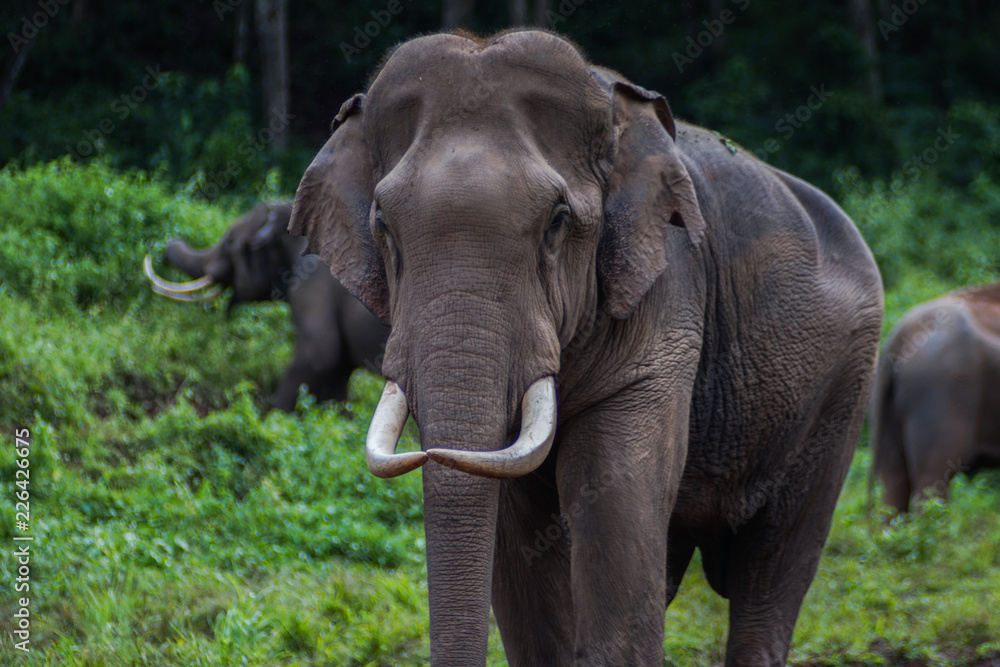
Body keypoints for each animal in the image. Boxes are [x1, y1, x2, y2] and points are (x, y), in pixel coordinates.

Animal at [144, 201, 389, 412]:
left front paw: (271, 416)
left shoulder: (312, 286)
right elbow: (338, 381)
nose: (164, 244)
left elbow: (317, 356)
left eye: (230, 240)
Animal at [289, 30, 883, 666]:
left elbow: (613, 503)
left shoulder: (665, 294)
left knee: (773, 568)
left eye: (555, 222)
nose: (430, 452)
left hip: (842, 392)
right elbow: (519, 540)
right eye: (383, 227)